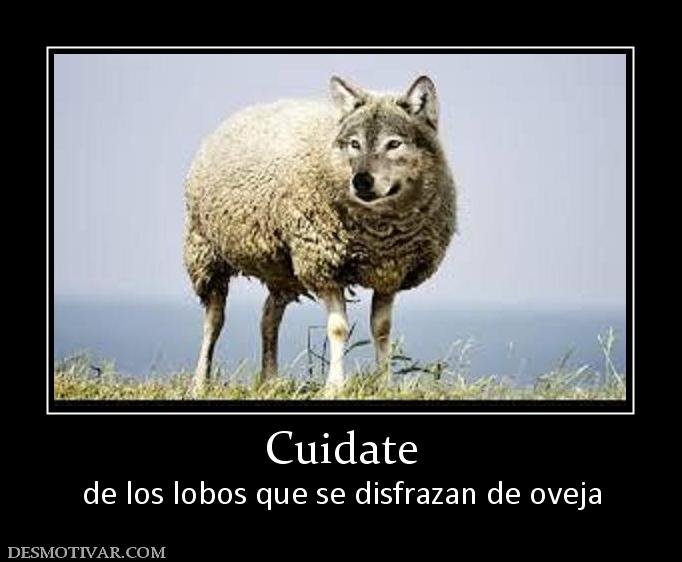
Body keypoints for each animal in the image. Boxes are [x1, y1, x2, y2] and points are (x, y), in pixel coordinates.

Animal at [184, 75, 456, 394]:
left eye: (394, 143)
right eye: (354, 143)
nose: (361, 181)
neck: (379, 234)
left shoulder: (389, 272)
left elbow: (382, 330)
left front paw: (384, 384)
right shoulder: (323, 265)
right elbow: (338, 329)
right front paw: (335, 387)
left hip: (282, 270)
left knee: (269, 318)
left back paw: (270, 380)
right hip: (205, 251)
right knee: (214, 321)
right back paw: (200, 383)